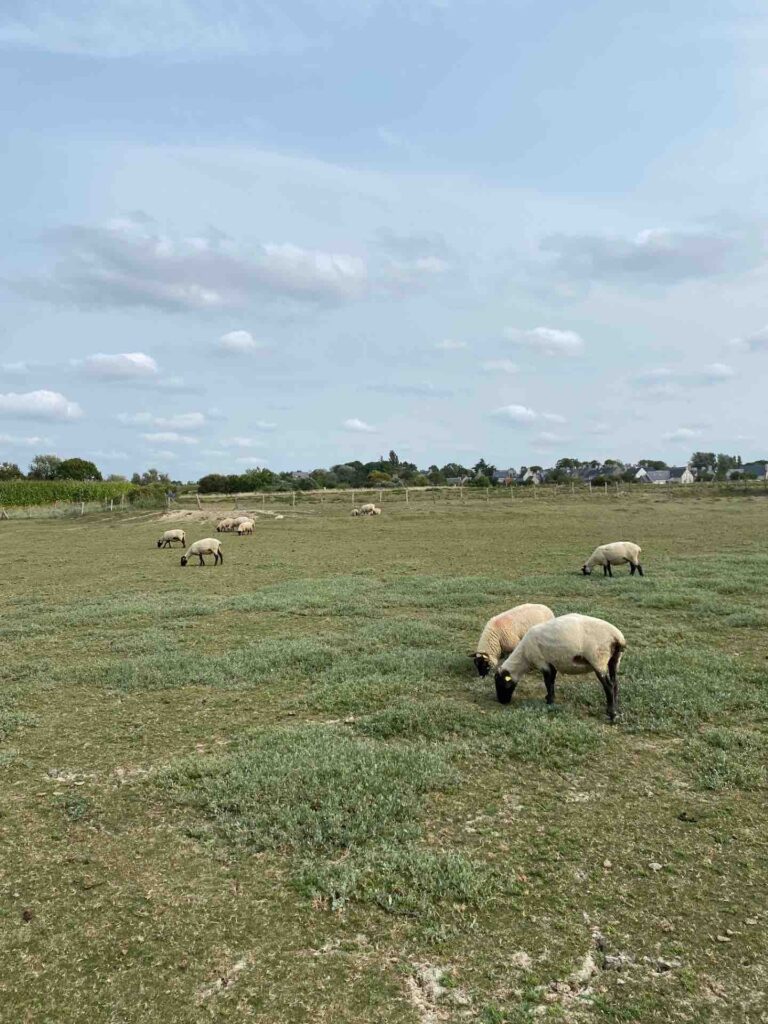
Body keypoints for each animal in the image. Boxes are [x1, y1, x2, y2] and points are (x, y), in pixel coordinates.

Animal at [495, 614, 626, 720]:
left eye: (501, 684)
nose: (502, 702)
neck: (524, 656)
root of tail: (617, 637)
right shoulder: (551, 664)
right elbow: (552, 681)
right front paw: (549, 697)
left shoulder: (542, 662)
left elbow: (548, 682)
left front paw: (549, 702)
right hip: (615, 660)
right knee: (615, 683)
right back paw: (615, 707)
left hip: (599, 659)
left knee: (608, 686)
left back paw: (611, 714)